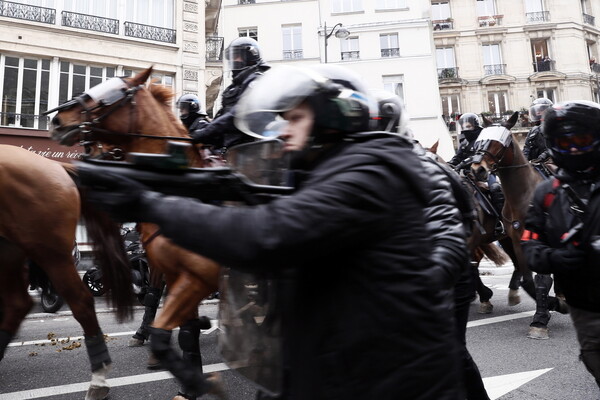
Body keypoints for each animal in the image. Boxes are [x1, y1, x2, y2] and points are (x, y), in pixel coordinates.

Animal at [0, 145, 134, 398]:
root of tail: (56, 166)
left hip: (48, 251)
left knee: (80, 301)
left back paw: (98, 381)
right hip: (12, 250)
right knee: (18, 304)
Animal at [472, 111, 564, 338]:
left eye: (498, 143)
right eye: (479, 141)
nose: (477, 170)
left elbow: (542, 279)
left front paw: (542, 318)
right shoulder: (516, 239)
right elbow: (528, 280)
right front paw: (547, 308)